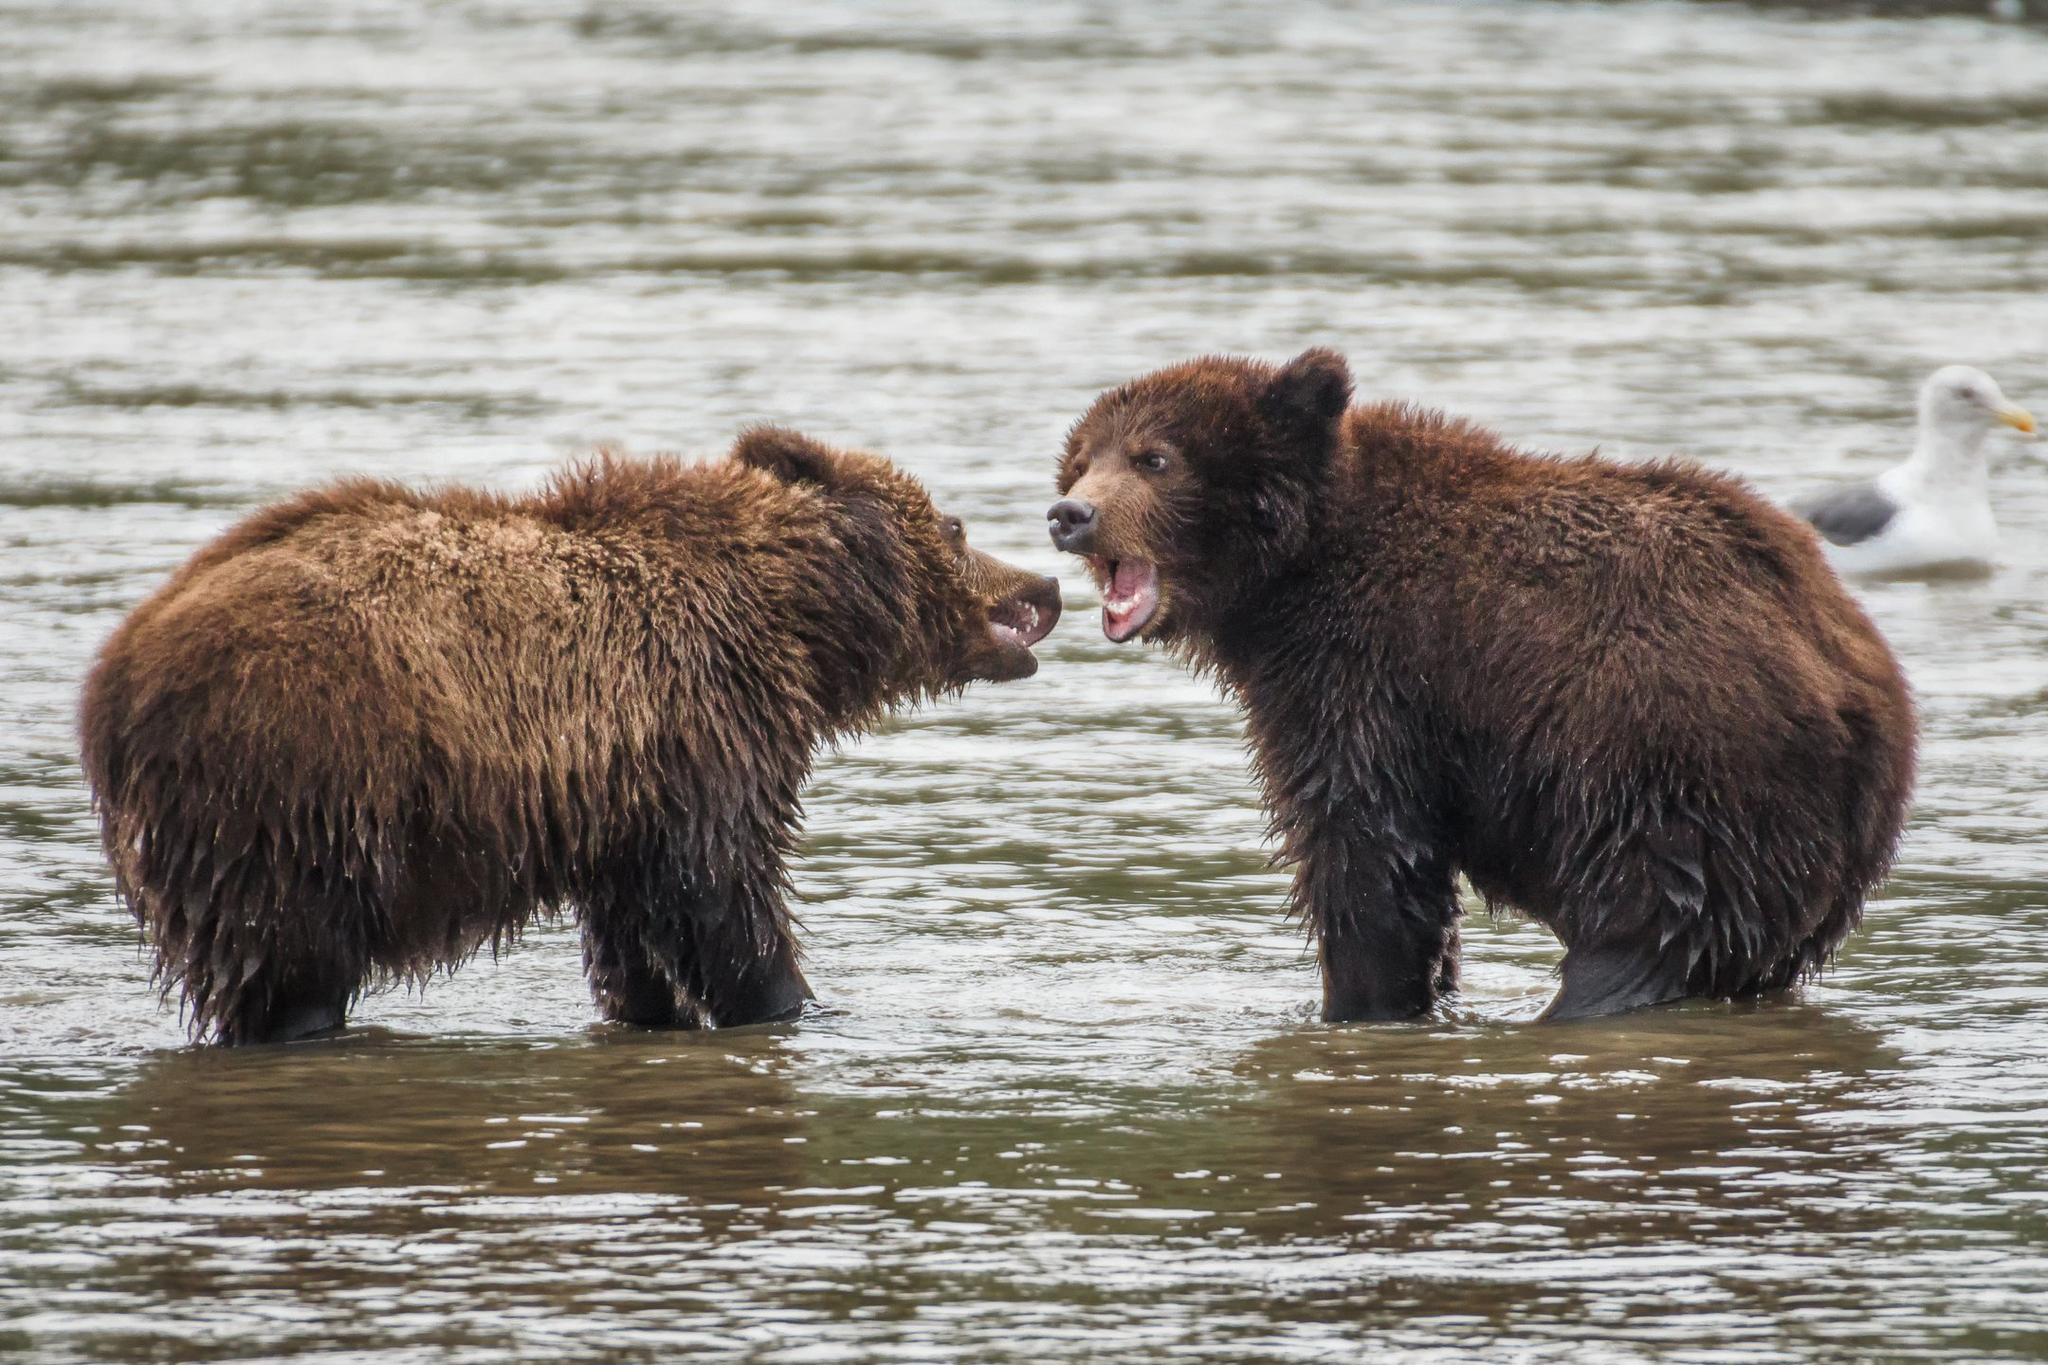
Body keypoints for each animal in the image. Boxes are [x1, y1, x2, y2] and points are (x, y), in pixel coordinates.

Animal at [86, 427, 1064, 1047]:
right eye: (954, 524)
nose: (1044, 583)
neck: (797, 619)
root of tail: (113, 681)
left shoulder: (626, 788)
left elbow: (636, 929)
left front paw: (652, 1007)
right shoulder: (704, 726)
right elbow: (726, 892)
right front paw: (791, 1000)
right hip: (297, 781)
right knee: (293, 960)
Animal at [1056, 351, 1916, 1023]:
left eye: (1154, 457)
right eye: (1084, 457)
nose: (1070, 513)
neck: (1288, 579)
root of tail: (1861, 691)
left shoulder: (1366, 674)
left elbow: (1367, 847)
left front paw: (1360, 999)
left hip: (1673, 764)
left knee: (1646, 927)